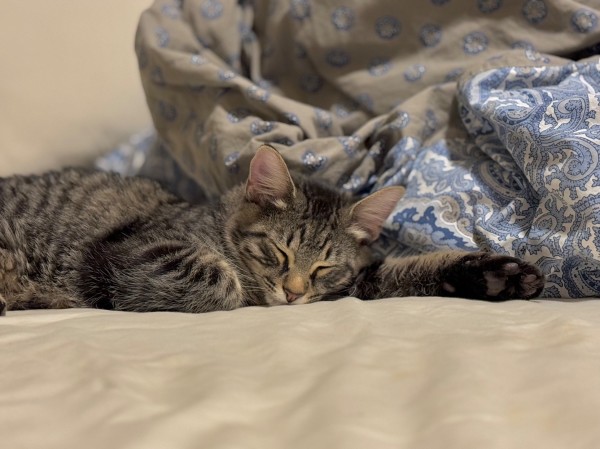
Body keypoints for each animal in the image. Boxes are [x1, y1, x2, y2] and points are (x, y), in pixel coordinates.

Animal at [0, 145, 544, 314]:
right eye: (278, 253)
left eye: (323, 267)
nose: (294, 292)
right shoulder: (131, 249)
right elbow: (221, 279)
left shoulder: (354, 280)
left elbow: (409, 269)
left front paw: (496, 274)